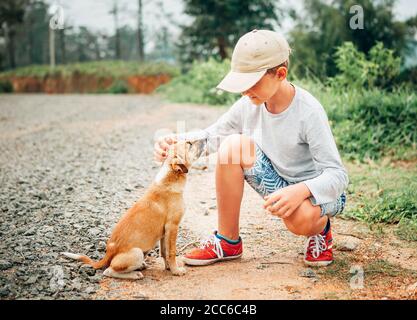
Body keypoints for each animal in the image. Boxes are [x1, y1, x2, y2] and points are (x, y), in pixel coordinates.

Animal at [62, 139, 206, 278]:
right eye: (189, 143)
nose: (205, 138)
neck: (170, 179)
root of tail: (108, 253)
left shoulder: (165, 232)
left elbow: (164, 252)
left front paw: (169, 268)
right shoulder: (173, 226)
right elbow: (172, 252)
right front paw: (176, 270)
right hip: (137, 253)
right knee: (108, 271)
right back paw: (135, 274)